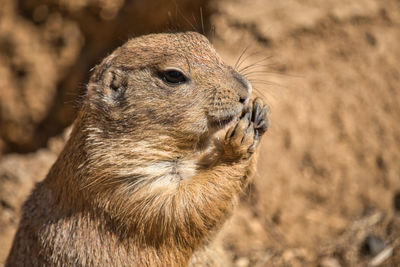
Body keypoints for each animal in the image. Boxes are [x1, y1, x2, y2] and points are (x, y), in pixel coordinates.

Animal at [5, 31, 268, 267]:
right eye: (173, 75)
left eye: (202, 39)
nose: (245, 90)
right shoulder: (123, 182)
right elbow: (184, 205)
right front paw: (237, 143)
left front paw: (259, 112)